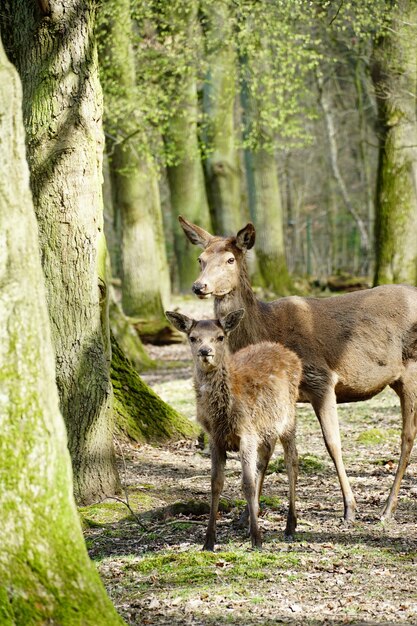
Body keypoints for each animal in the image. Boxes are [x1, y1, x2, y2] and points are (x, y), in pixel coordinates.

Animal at [164, 310, 300, 548]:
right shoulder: (215, 438)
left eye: (220, 337)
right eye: (193, 337)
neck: (222, 416)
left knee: (291, 461)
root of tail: (291, 355)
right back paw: (249, 517)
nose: (205, 352)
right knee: (265, 458)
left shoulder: (247, 433)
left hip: (288, 417)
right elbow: (216, 483)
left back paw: (290, 525)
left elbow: (247, 483)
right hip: (266, 428)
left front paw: (257, 539)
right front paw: (209, 540)